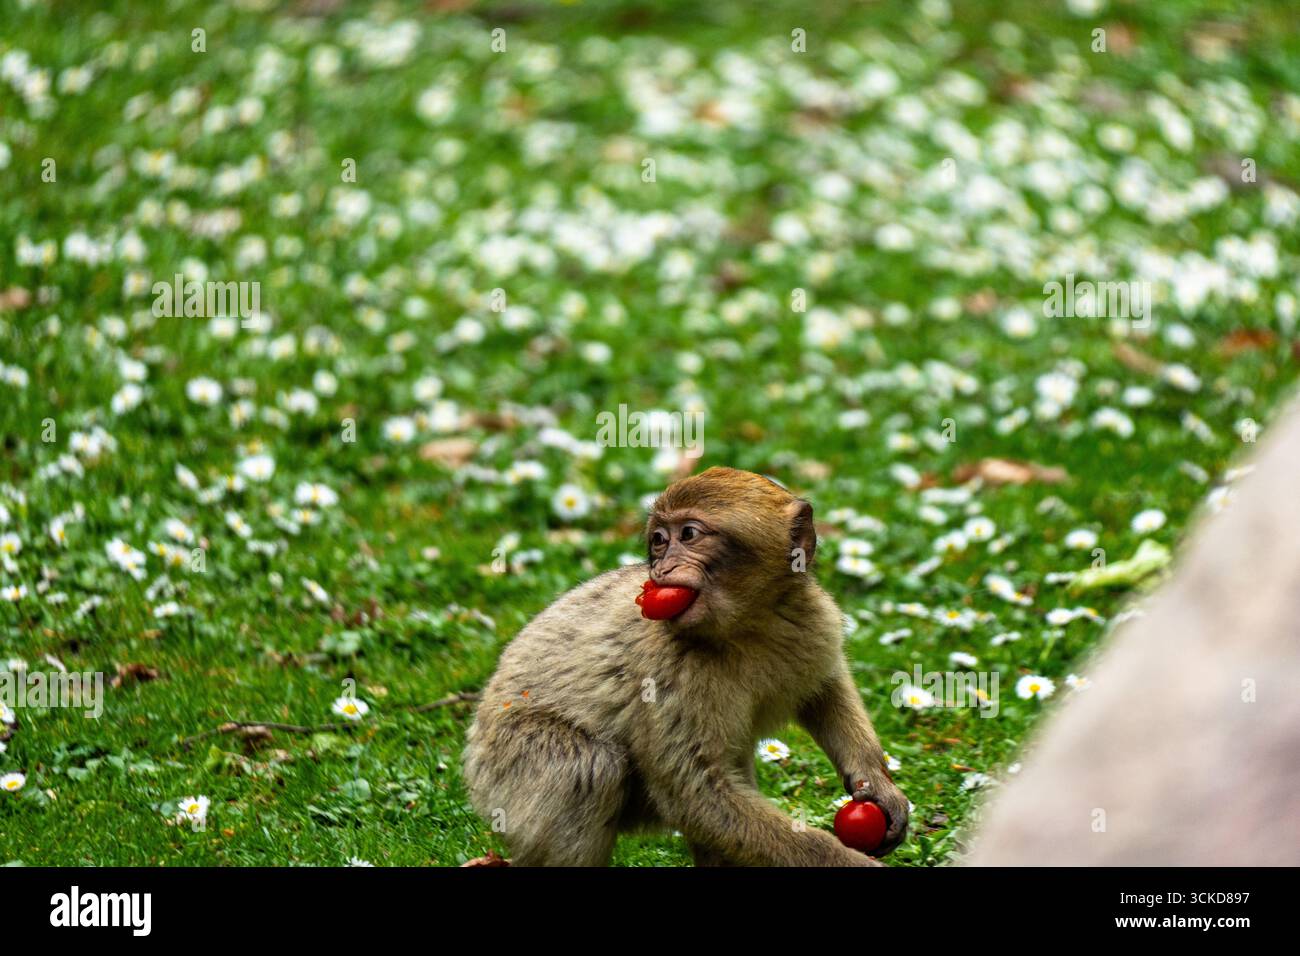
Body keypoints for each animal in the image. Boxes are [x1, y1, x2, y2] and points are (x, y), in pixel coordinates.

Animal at [462, 466, 908, 866]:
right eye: (659, 541)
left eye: (688, 535)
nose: (661, 570)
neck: (746, 626)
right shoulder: (668, 669)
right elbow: (696, 794)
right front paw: (847, 861)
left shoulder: (814, 618)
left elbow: (825, 688)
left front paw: (875, 781)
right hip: (505, 770)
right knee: (590, 767)